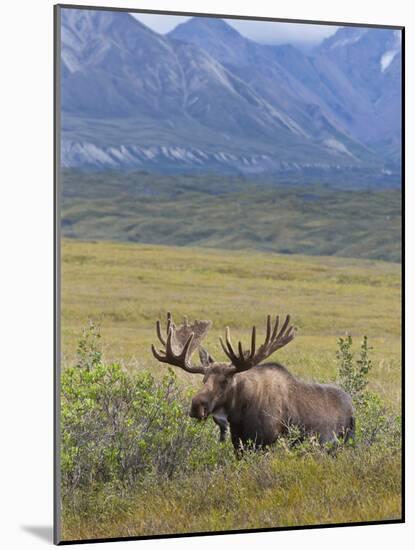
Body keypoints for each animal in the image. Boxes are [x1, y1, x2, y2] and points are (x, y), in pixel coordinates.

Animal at [151, 312, 356, 450]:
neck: (239, 415)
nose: (196, 406)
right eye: (204, 379)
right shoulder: (239, 443)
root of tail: (352, 407)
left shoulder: (265, 442)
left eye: (225, 381)